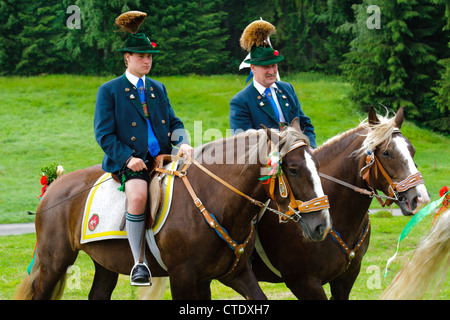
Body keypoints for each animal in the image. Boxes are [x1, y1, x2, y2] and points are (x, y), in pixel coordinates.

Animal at [14, 122, 330, 300]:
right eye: (293, 169)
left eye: (316, 162)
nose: (321, 224)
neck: (216, 201)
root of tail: (54, 185)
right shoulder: (183, 277)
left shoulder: (233, 274)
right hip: (55, 261)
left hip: (104, 264)